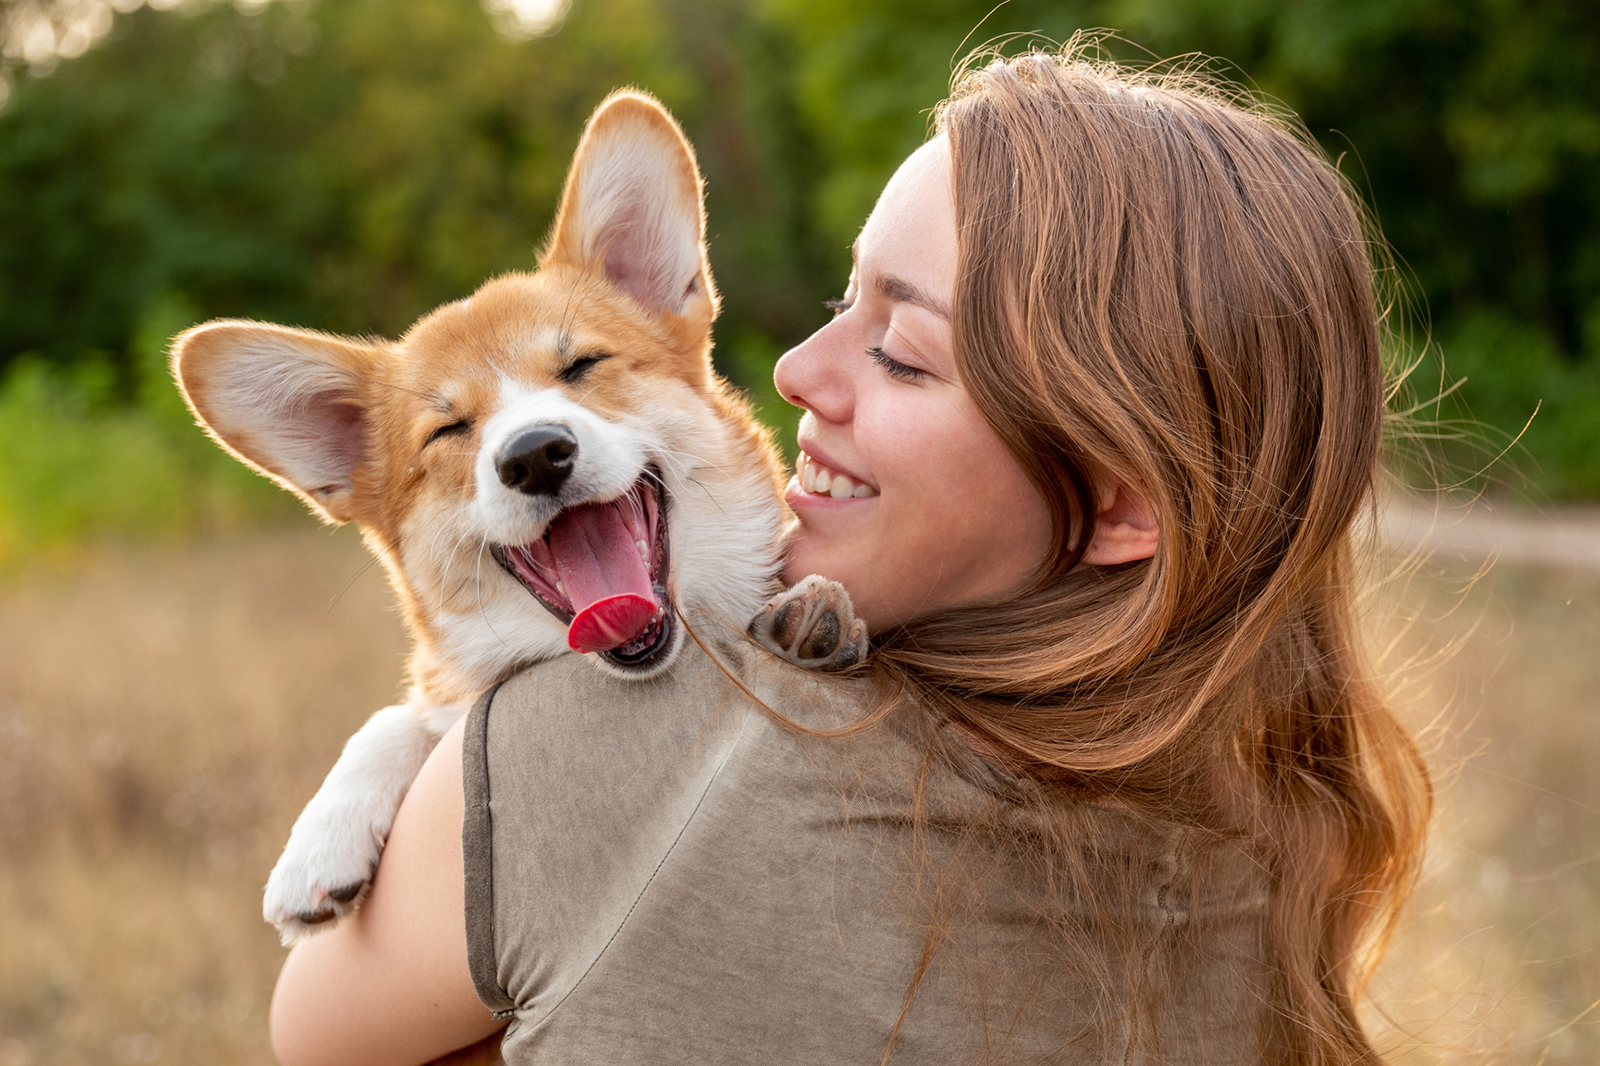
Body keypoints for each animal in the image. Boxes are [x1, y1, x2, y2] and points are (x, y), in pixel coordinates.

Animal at [172, 89, 864, 941]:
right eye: (449, 430)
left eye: (583, 365)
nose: (535, 455)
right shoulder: (450, 693)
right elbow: (399, 717)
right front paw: (319, 844)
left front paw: (812, 617)